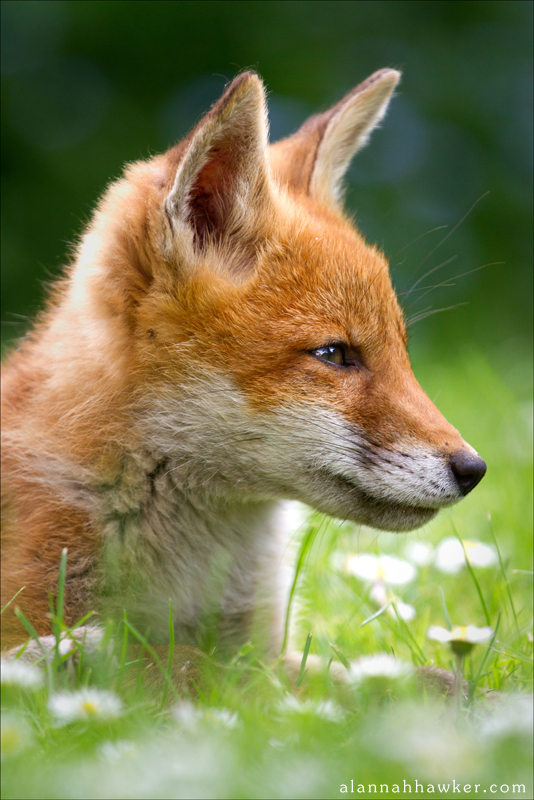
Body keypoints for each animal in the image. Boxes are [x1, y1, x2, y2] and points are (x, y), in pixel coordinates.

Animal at [0, 67, 488, 688]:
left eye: (400, 349)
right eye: (335, 354)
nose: (473, 469)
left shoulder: (265, 643)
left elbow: (330, 679)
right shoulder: (28, 616)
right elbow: (187, 670)